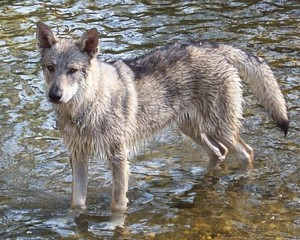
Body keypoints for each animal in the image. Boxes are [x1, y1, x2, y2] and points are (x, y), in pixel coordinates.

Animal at [35, 21, 288, 212]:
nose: (54, 95)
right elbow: (77, 203)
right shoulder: (78, 156)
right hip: (193, 129)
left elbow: (117, 204)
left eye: (72, 70)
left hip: (220, 128)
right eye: (50, 68)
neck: (85, 109)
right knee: (219, 152)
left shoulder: (118, 157)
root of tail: (214, 47)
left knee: (247, 152)